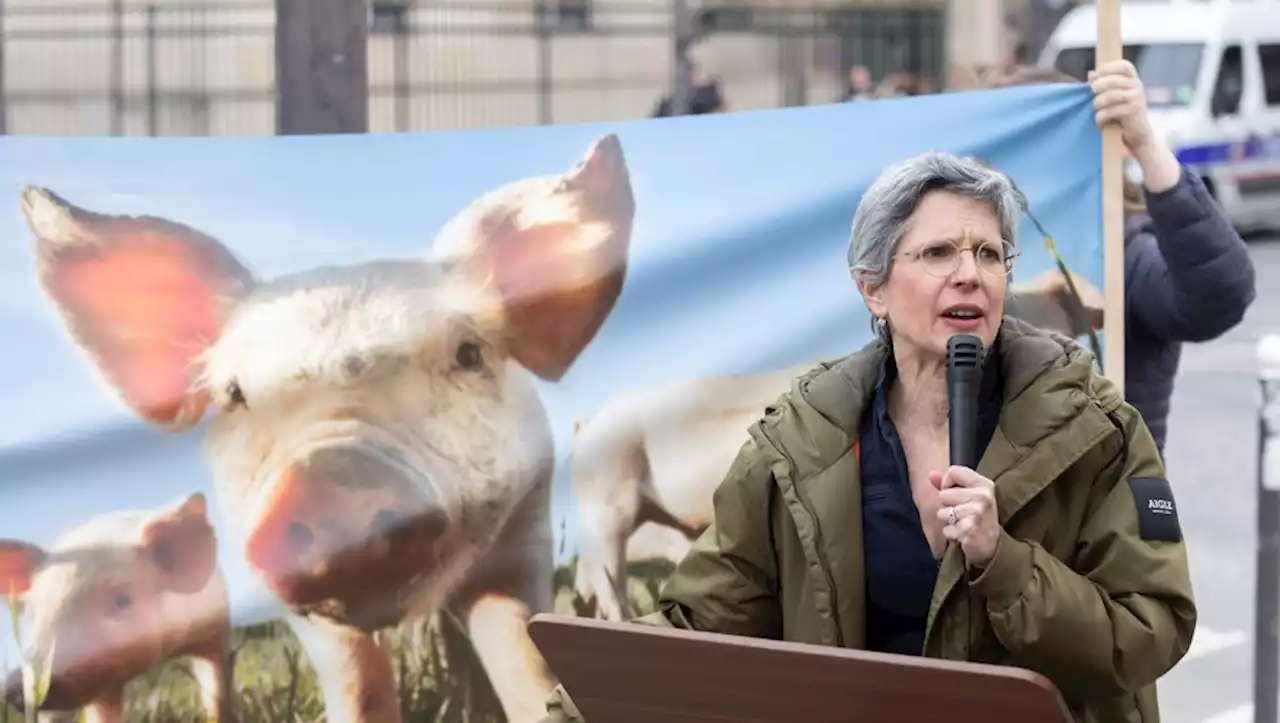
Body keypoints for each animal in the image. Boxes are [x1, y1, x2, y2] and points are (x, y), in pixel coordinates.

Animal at [0, 79, 1100, 721]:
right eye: (233, 393)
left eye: (467, 352)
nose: (332, 480)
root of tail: (589, 420)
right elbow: (359, 678)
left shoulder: (524, 531)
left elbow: (515, 649)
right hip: (607, 500)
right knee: (600, 593)